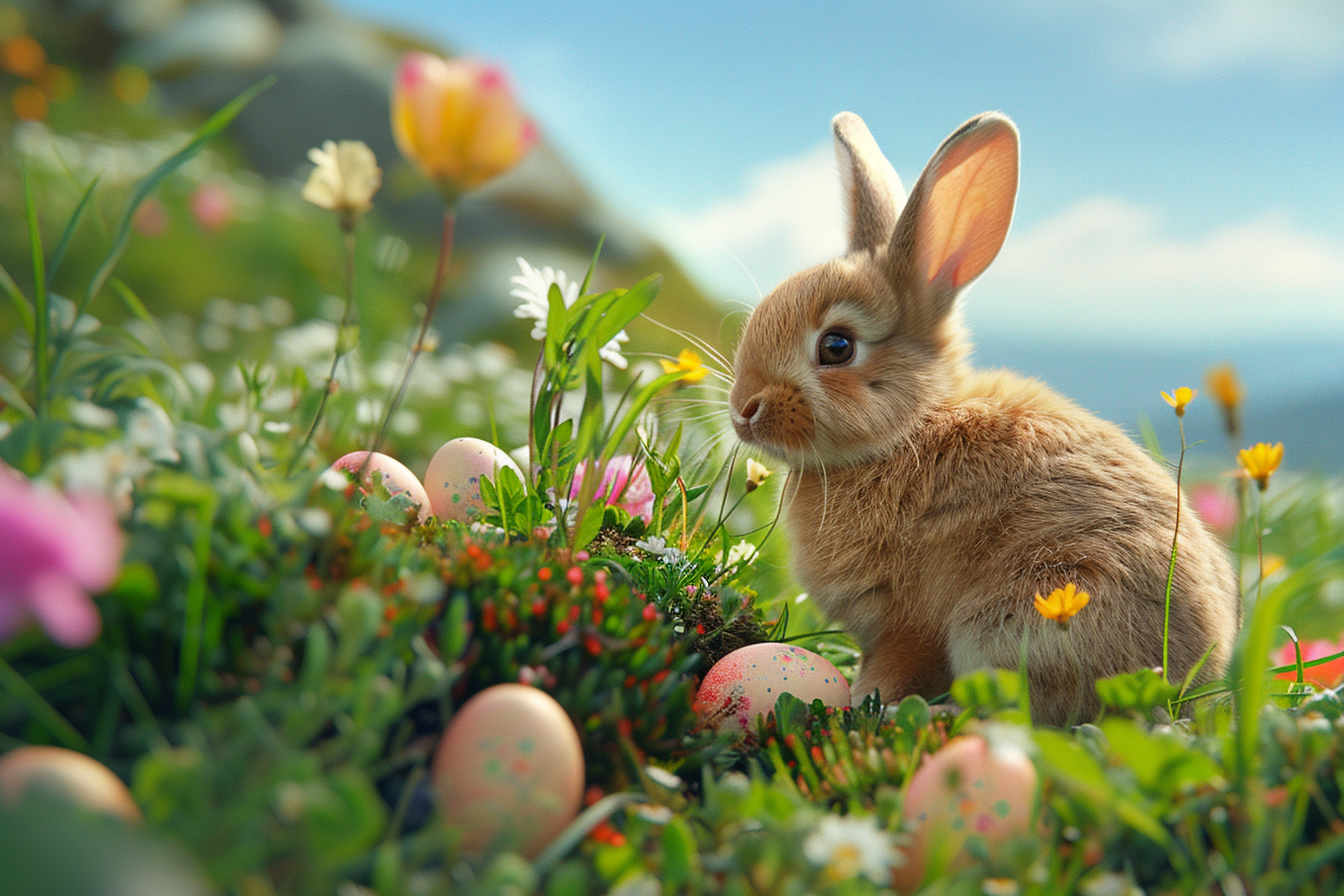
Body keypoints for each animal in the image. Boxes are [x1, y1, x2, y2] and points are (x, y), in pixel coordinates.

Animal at [728, 111, 1241, 726]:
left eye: (836, 346)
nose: (742, 411)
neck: (907, 431)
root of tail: (1195, 673)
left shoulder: (909, 621)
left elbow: (897, 666)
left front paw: (863, 701)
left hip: (1024, 612)